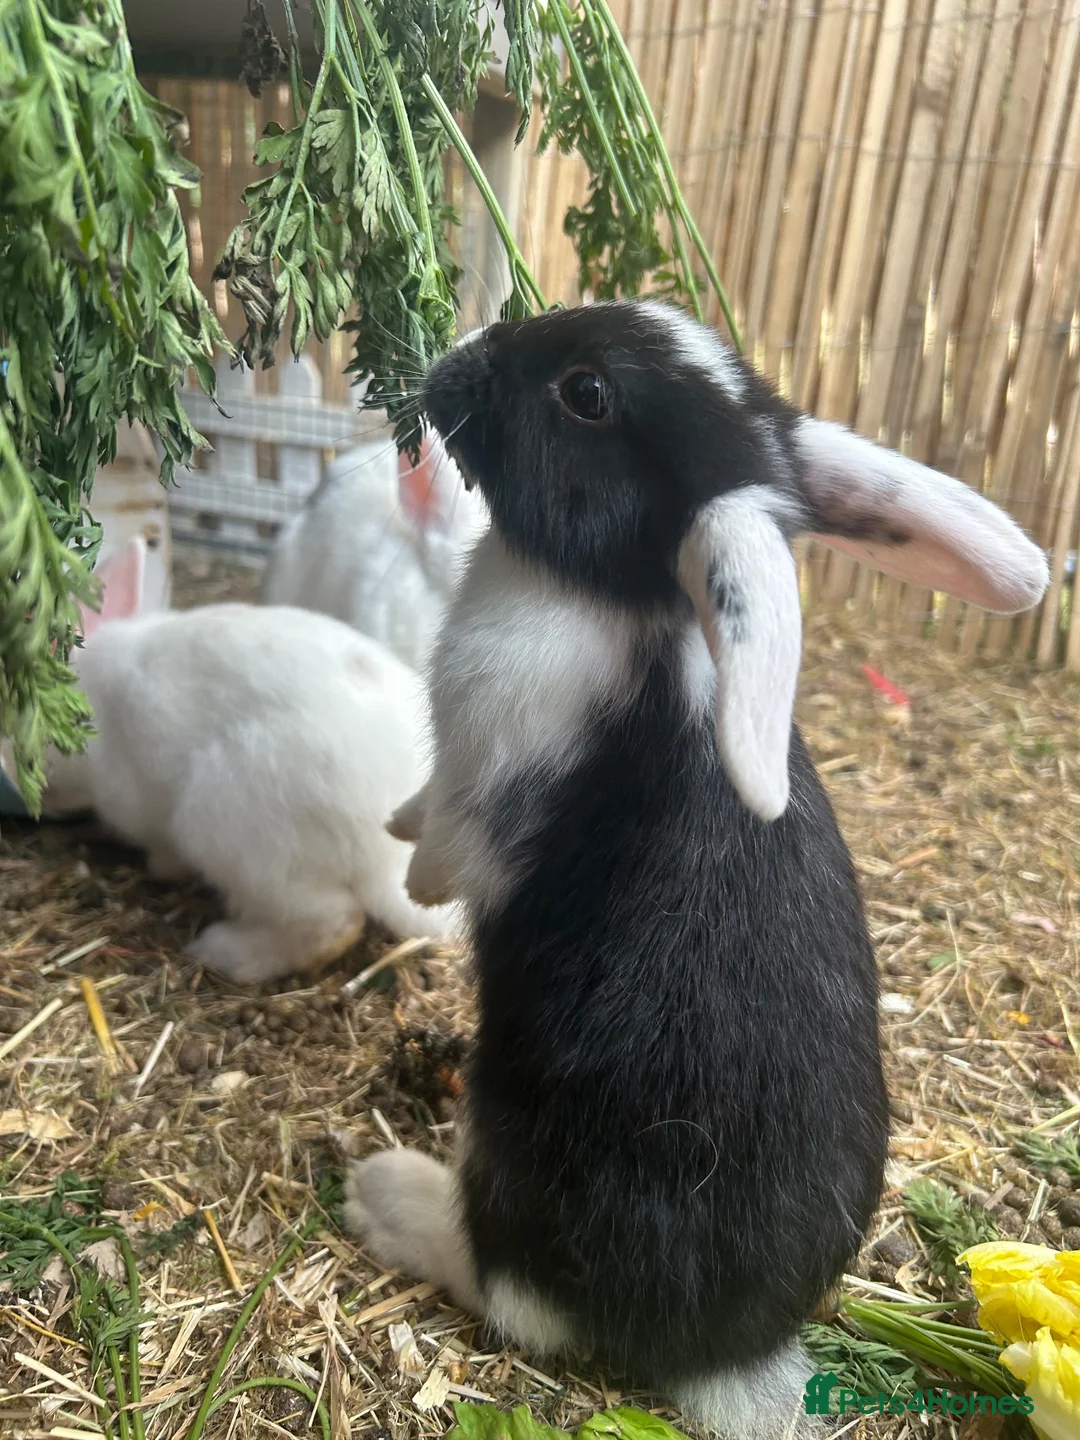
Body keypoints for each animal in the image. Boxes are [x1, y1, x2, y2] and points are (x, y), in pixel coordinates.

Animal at [16, 536, 456, 983]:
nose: (36, 795)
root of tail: (386, 862)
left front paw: (160, 868)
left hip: (234, 834)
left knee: (333, 923)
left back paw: (220, 950)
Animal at [341, 300, 1049, 1438]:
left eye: (586, 395)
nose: (463, 357)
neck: (608, 597)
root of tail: (724, 1353)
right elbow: (421, 806)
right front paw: (393, 822)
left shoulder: (485, 760)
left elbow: (451, 845)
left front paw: (417, 884)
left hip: (512, 1148)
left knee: (517, 1294)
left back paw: (387, 1194)